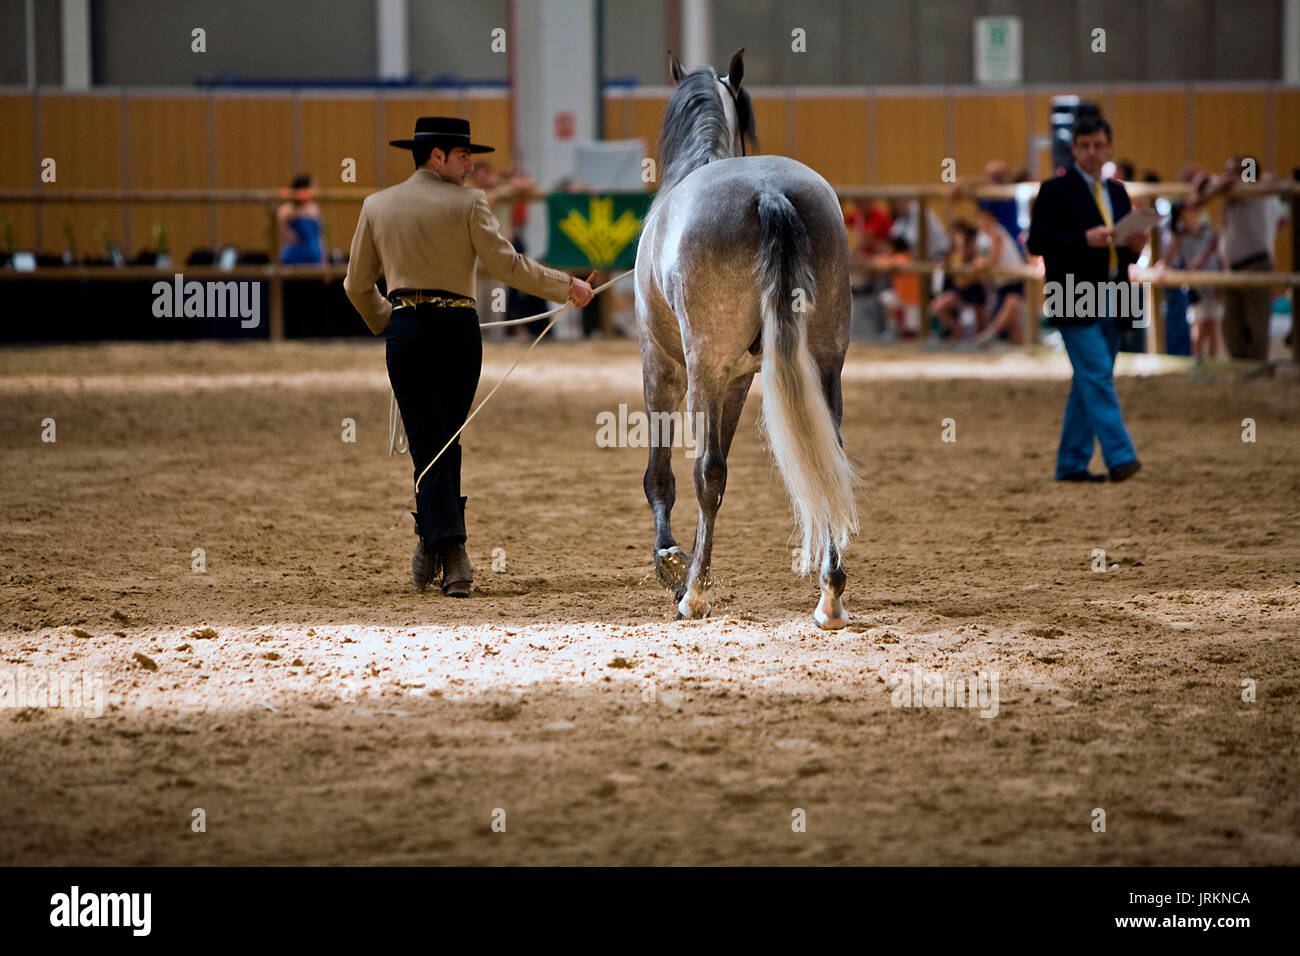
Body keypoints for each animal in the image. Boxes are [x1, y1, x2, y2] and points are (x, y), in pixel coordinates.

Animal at [634, 48, 857, 629]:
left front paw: (673, 563)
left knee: (703, 471)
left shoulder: (663, 368)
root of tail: (768, 192)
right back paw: (830, 595)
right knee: (830, 460)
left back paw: (694, 595)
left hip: (700, 368)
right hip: (825, 362)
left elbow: (664, 474)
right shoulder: (735, 381)